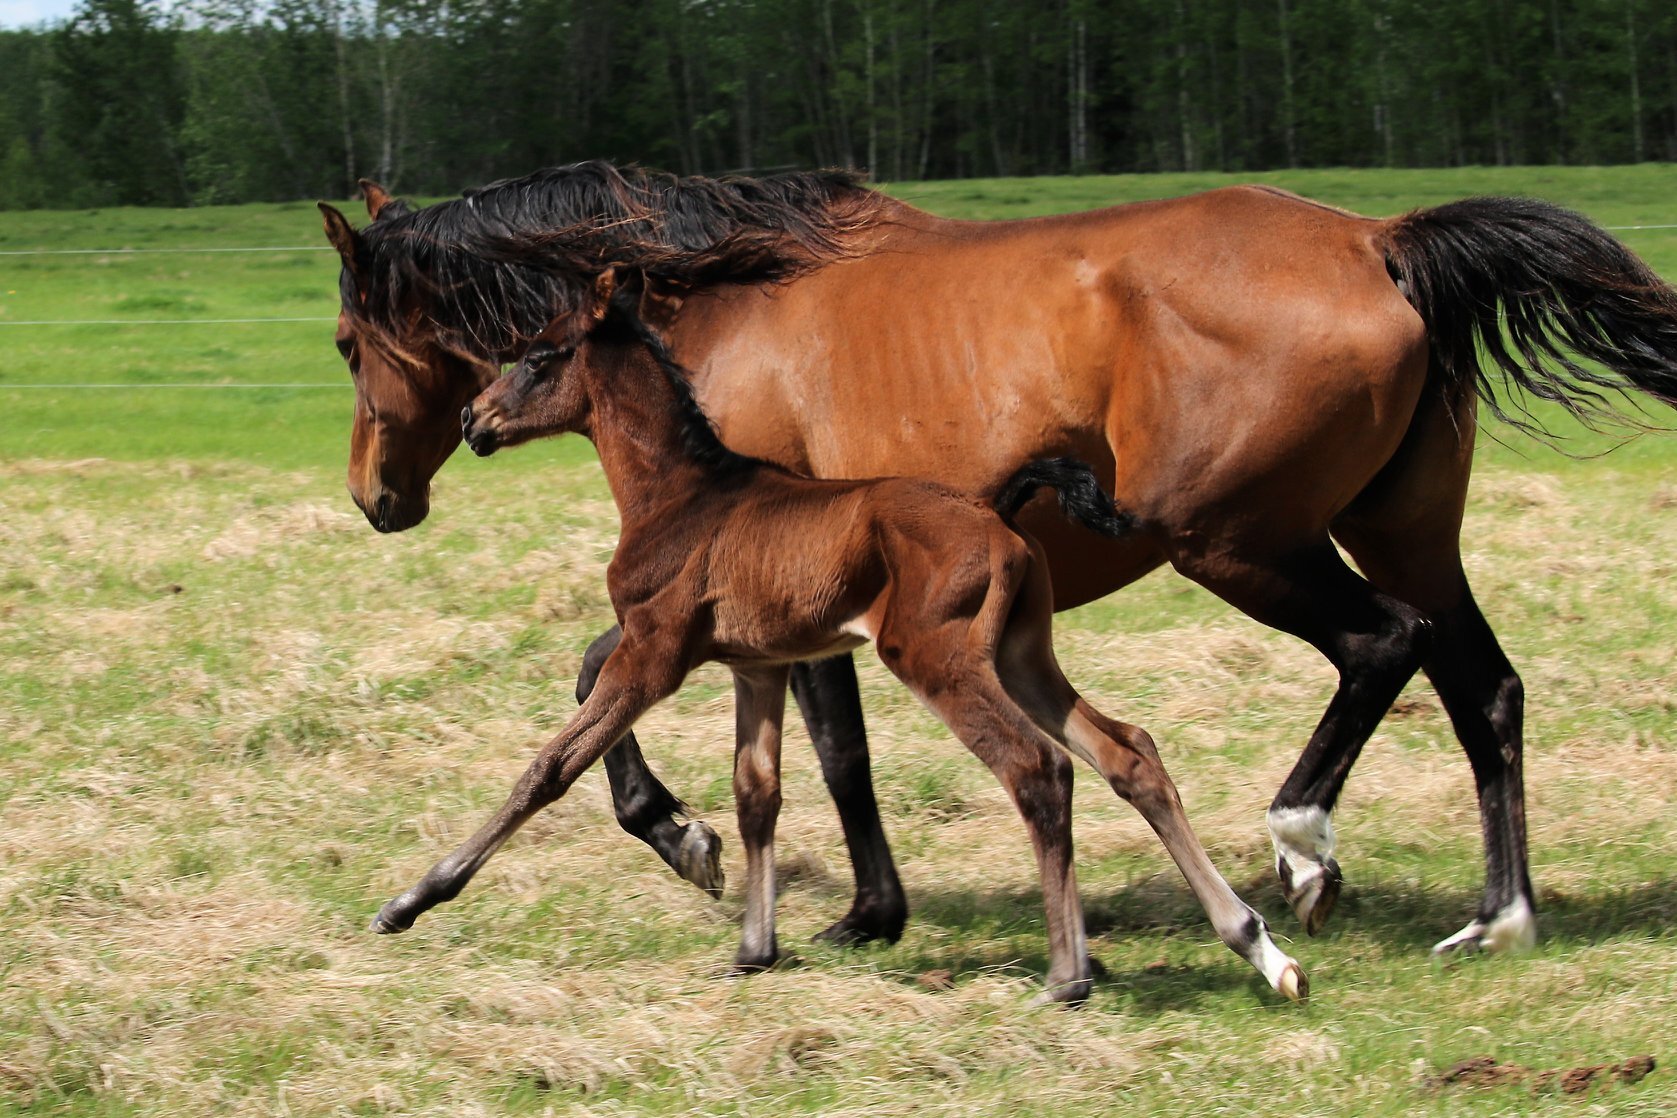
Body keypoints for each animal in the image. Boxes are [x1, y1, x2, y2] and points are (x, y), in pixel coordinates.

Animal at [373, 278, 1301, 1005]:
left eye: (539, 356)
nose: (474, 418)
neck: (680, 495)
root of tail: (992, 511)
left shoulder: (654, 653)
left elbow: (550, 765)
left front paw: (412, 900)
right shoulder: (759, 666)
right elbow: (756, 791)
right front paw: (752, 949)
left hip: (935, 657)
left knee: (1036, 767)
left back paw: (1068, 975)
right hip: (1021, 655)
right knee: (1128, 753)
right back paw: (1258, 947)